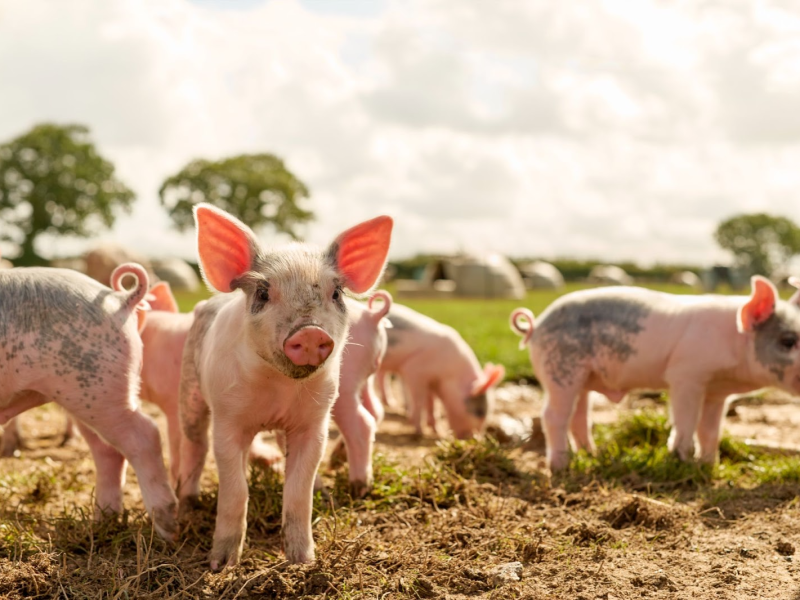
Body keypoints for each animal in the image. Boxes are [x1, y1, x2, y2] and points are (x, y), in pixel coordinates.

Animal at [0, 263, 178, 539]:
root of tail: (119, 300)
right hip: (87, 397)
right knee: (108, 451)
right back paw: (102, 524)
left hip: (100, 390)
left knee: (145, 435)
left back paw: (166, 531)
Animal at [330, 291, 392, 497]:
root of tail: (371, 316)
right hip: (366, 376)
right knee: (376, 410)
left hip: (344, 384)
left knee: (362, 422)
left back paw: (358, 487)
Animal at [378, 303, 505, 439]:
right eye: (479, 412)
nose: (475, 438)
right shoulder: (414, 371)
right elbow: (419, 401)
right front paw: (419, 433)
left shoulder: (432, 382)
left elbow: (431, 405)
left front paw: (438, 431)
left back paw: (389, 403)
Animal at [510, 276, 800, 471]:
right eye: (788, 341)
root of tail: (536, 325)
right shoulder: (685, 376)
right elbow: (686, 423)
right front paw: (681, 461)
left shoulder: (717, 393)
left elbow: (710, 431)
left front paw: (708, 466)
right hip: (560, 371)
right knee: (553, 416)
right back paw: (561, 466)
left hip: (582, 378)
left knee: (579, 418)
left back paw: (591, 456)